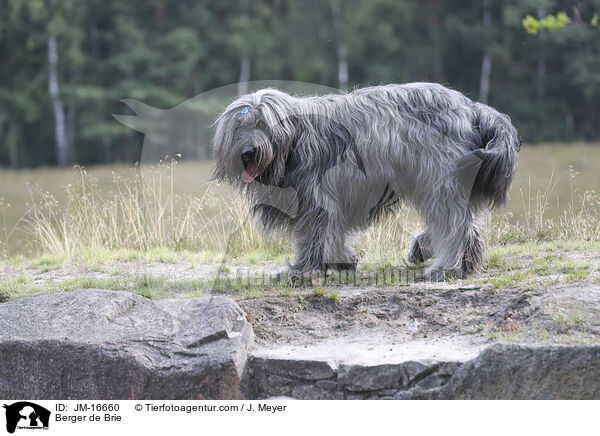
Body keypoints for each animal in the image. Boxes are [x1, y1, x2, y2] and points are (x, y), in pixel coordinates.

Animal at [212, 82, 520, 280]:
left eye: (263, 124)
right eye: (240, 127)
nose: (248, 152)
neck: (293, 142)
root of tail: (472, 107)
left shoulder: (316, 199)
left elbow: (314, 234)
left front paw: (303, 270)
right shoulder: (334, 197)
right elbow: (332, 232)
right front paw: (342, 260)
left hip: (440, 179)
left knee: (456, 225)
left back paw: (448, 268)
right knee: (465, 223)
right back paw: (436, 253)